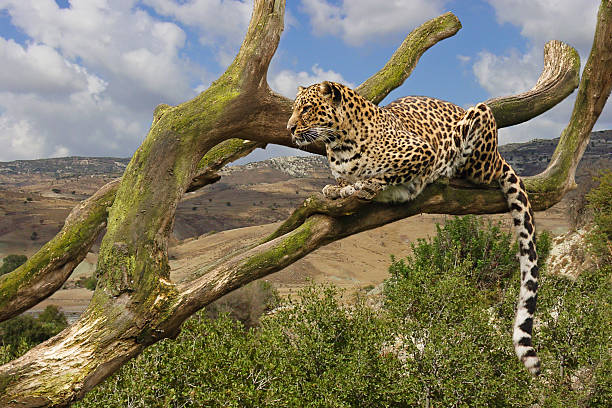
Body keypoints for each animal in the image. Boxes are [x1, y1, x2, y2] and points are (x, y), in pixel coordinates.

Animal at [286, 81, 540, 374]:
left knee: (479, 167)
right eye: (295, 109)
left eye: (306, 109)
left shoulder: (422, 151)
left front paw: (366, 185)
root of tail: (500, 155)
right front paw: (338, 188)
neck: (339, 145)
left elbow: (386, 175)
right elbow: (343, 183)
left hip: (481, 130)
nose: (289, 128)